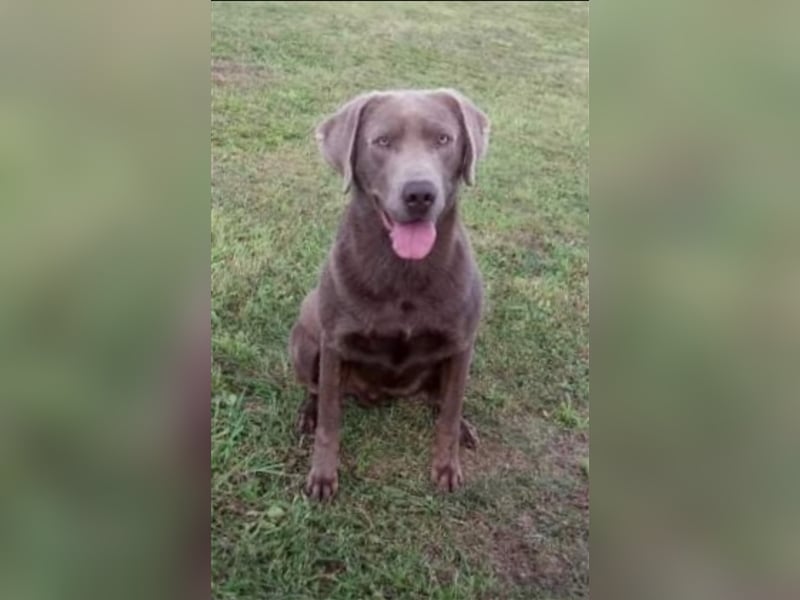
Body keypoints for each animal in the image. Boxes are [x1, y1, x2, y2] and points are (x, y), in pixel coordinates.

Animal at [288, 89, 488, 500]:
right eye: (381, 141)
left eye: (443, 139)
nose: (420, 193)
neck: (404, 272)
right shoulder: (334, 345)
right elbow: (330, 422)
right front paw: (323, 475)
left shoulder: (462, 344)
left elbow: (450, 412)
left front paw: (447, 465)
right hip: (304, 342)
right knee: (315, 390)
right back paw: (307, 413)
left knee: (443, 400)